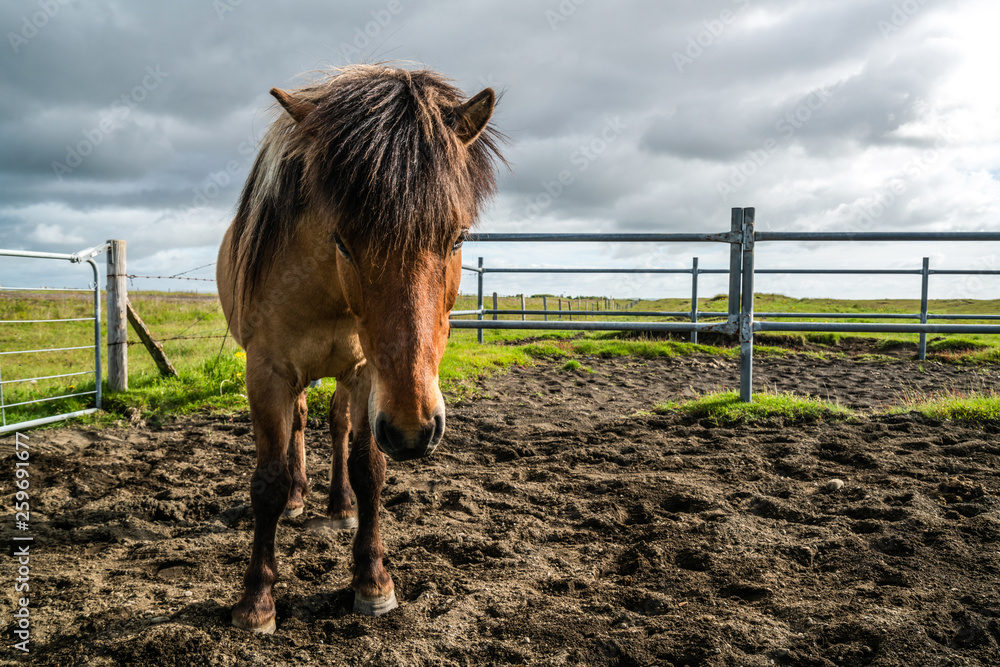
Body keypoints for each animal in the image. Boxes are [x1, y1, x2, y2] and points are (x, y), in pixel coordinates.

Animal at [215, 65, 504, 636]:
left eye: (457, 238)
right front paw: (256, 600)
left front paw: (372, 581)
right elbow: (267, 482)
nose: (414, 430)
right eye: (342, 240)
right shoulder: (266, 373)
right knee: (301, 425)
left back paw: (339, 505)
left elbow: (369, 468)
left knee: (337, 425)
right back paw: (300, 499)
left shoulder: (368, 372)